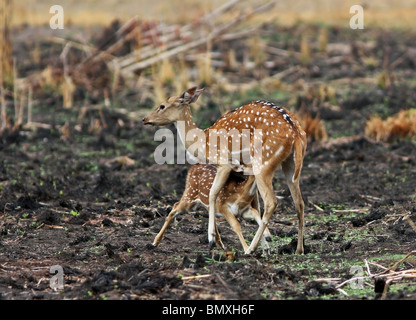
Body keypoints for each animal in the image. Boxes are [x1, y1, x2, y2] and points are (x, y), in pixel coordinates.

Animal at [145, 86, 308, 254]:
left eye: (162, 105)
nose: (144, 119)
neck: (203, 143)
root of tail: (296, 134)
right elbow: (254, 202)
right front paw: (265, 247)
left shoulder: (223, 163)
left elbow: (213, 193)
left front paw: (211, 239)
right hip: (290, 165)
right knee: (299, 203)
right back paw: (298, 249)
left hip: (263, 163)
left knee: (271, 202)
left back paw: (250, 248)